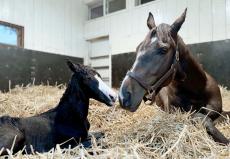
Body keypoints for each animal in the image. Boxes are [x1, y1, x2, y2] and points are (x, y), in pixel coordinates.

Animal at [119, 9, 229, 145]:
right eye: (137, 48)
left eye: (163, 49)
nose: (124, 96)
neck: (197, 90)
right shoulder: (176, 112)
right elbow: (201, 118)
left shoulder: (217, 110)